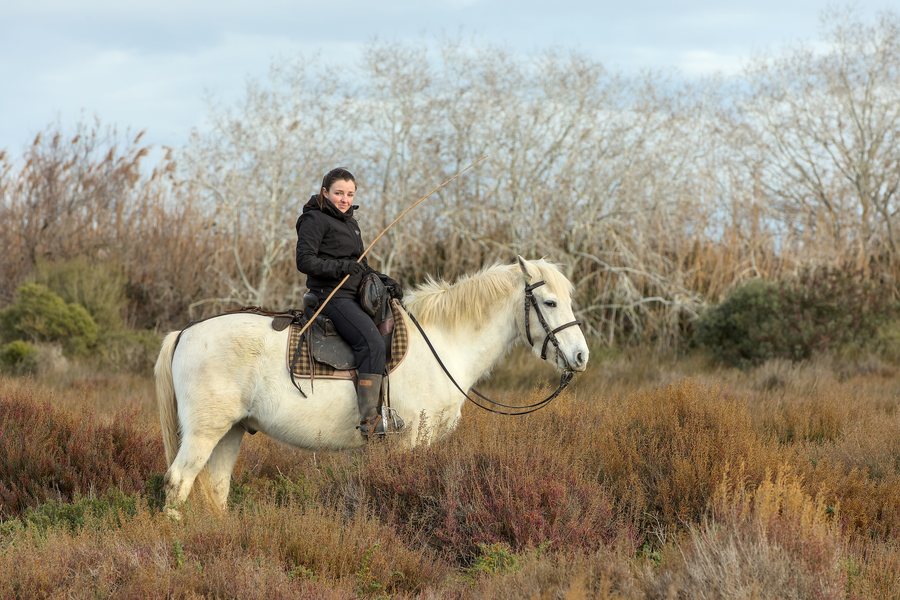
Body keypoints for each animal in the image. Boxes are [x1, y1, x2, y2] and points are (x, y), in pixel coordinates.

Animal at [154, 257, 589, 517]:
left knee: (215, 487)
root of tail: (184, 333)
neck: (443, 342)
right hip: (205, 432)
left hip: (231, 431)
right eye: (549, 302)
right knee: (178, 482)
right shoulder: (411, 440)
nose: (581, 356)